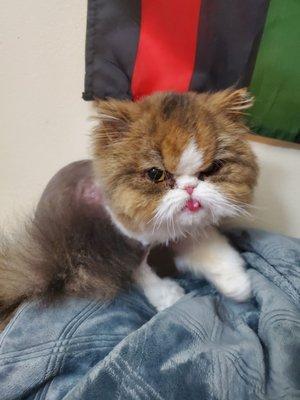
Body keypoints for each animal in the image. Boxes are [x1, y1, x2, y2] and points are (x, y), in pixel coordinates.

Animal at [0, 89, 258, 318]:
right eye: (156, 174)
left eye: (213, 168)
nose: (189, 187)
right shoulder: (121, 249)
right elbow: (146, 276)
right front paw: (170, 297)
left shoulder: (186, 232)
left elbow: (213, 250)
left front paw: (237, 282)